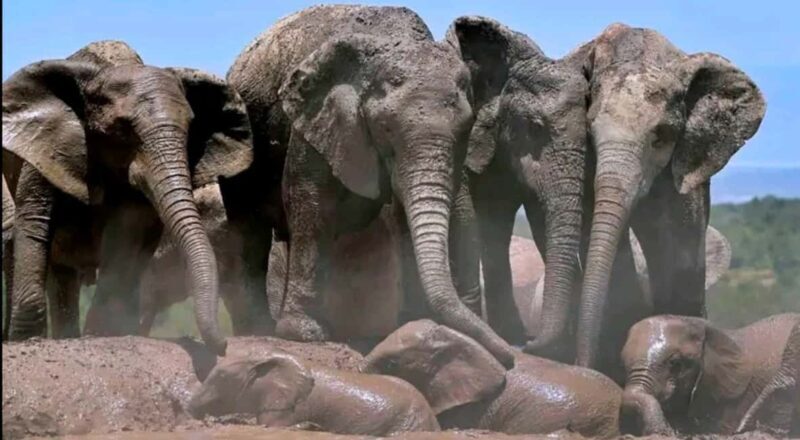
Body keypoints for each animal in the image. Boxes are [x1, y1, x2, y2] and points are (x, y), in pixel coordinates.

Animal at [2, 40, 253, 354]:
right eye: (122, 129)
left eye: (192, 129)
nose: (223, 346)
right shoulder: (47, 148)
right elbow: (35, 224)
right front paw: (26, 340)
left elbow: (125, 236)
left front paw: (100, 334)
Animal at [226, 5, 514, 366]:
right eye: (385, 130)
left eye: (466, 130)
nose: (510, 357)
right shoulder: (317, 115)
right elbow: (310, 200)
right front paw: (303, 334)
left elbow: (404, 217)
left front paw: (413, 322)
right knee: (248, 231)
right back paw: (258, 328)